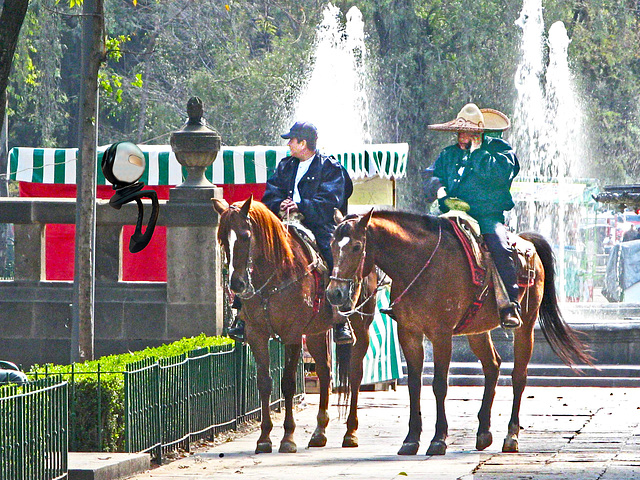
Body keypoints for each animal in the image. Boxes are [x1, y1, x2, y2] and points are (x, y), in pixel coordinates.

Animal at [212, 196, 378, 454]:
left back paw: (350, 432)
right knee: (325, 372)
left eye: (246, 236)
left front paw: (288, 438)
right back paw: (319, 432)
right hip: (316, 333)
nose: (236, 284)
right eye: (222, 238)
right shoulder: (256, 335)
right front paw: (264, 438)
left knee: (355, 374)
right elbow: (264, 383)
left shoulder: (291, 335)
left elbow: (288, 383)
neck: (275, 274)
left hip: (361, 327)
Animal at [328, 211, 592, 458]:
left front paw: (438, 440)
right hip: (477, 331)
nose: (335, 293)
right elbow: (414, 385)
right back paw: (484, 433)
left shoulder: (441, 334)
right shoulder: (409, 333)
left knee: (519, 376)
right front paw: (411, 439)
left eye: (357, 246)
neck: (419, 264)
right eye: (331, 245)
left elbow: (439, 385)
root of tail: (527, 244)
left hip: (526, 325)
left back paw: (511, 436)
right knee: (492, 366)